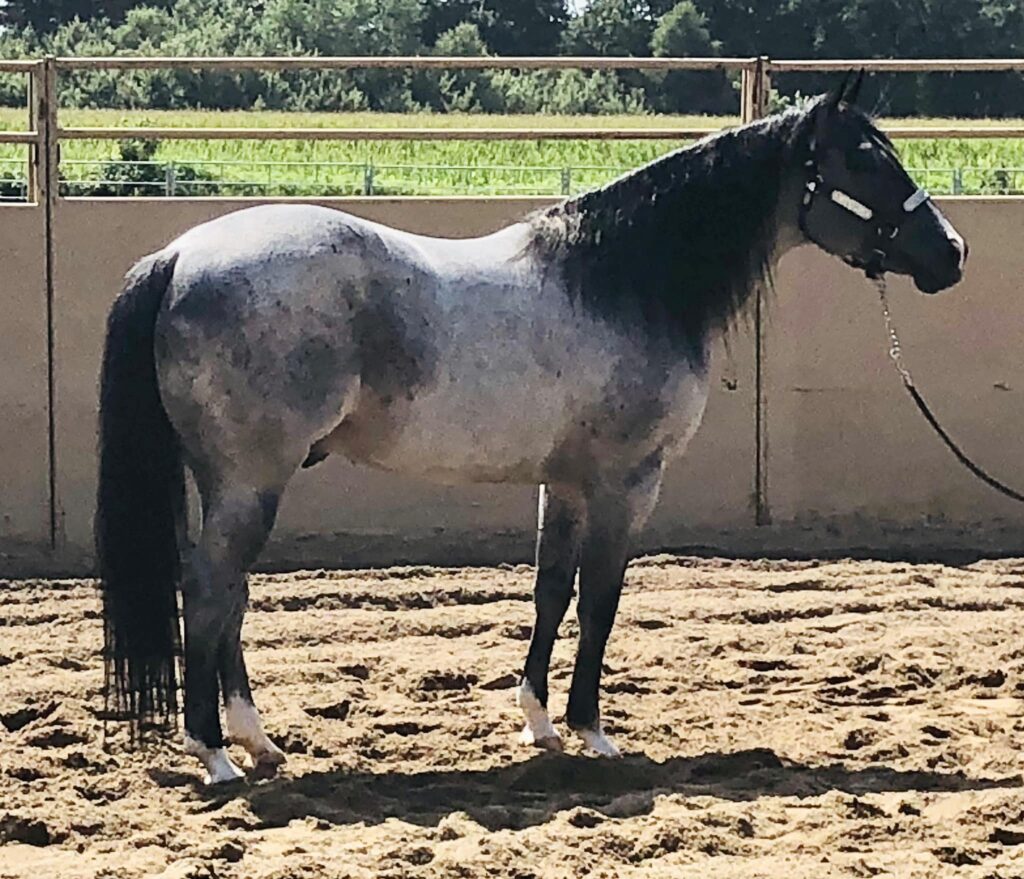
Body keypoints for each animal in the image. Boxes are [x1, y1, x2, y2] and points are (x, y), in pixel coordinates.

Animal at [97, 75, 966, 782]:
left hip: (233, 482)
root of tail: (179, 255)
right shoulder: (627, 481)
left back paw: (256, 739)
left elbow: (551, 590)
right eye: (865, 162)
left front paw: (539, 722)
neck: (624, 280)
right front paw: (592, 729)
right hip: (252, 480)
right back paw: (215, 753)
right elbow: (602, 596)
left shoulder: (565, 482)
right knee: (210, 589)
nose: (951, 254)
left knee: (230, 595)